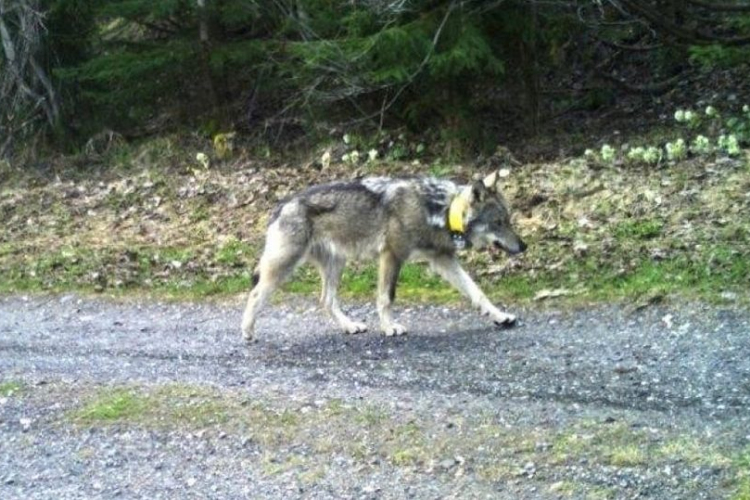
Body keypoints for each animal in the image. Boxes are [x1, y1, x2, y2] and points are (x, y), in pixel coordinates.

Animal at [242, 169, 528, 340]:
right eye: (498, 223)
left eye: (509, 220)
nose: (524, 246)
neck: (440, 210)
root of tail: (282, 204)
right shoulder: (392, 255)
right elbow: (386, 298)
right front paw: (389, 327)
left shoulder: (443, 260)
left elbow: (477, 292)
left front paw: (500, 316)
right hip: (284, 267)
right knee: (255, 294)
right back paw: (247, 331)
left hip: (336, 265)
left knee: (326, 300)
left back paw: (350, 326)